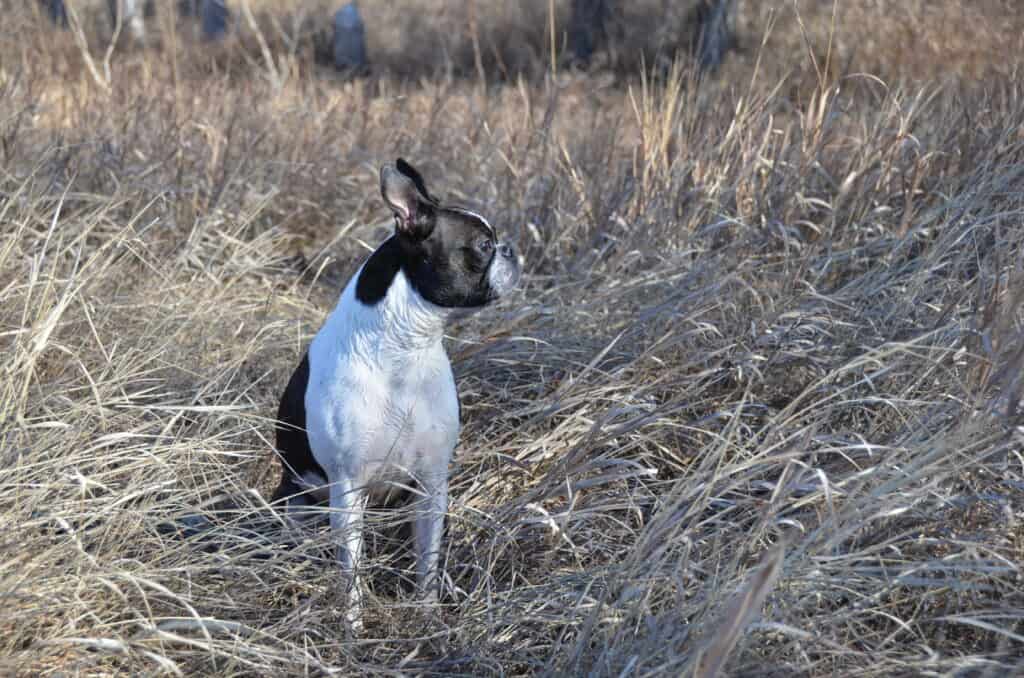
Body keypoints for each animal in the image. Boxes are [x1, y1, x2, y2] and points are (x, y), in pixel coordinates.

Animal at [272, 156, 520, 630]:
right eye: (483, 245)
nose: (511, 249)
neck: (404, 348)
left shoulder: (432, 484)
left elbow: (428, 562)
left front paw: (427, 617)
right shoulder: (348, 491)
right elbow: (351, 574)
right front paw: (352, 630)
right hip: (294, 503)